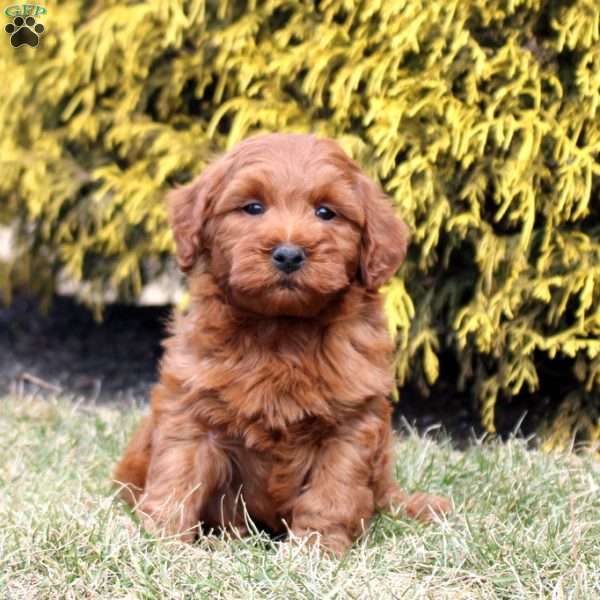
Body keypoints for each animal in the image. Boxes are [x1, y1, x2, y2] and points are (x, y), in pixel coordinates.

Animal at [113, 134, 450, 556]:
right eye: (253, 207)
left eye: (326, 212)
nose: (289, 254)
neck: (280, 330)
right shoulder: (191, 411)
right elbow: (177, 476)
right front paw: (159, 539)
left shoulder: (350, 426)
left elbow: (332, 493)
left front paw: (317, 549)